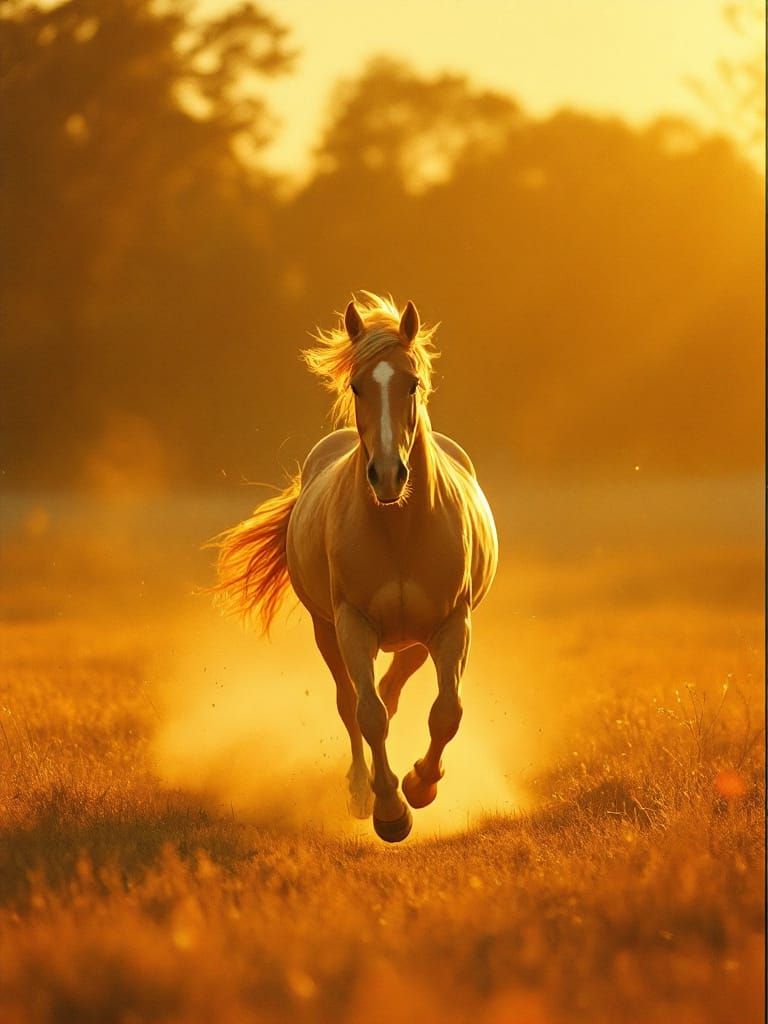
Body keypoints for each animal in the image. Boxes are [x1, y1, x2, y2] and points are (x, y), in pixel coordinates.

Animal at [213, 293, 498, 842]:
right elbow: (367, 714)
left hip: (414, 640)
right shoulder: (352, 624)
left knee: (393, 690)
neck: (400, 526)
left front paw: (421, 784)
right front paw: (389, 809)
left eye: (412, 383)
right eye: (356, 385)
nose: (387, 475)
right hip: (327, 629)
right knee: (352, 702)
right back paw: (360, 788)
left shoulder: (453, 622)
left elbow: (445, 712)